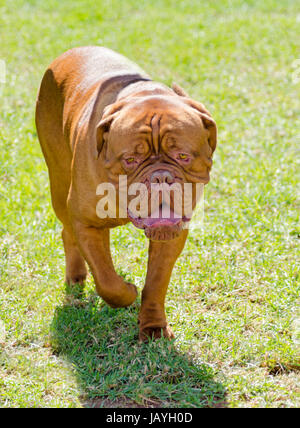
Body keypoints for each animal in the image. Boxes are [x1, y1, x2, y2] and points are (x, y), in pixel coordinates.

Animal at [36, 46, 217, 342]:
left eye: (183, 156)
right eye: (131, 159)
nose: (161, 177)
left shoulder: (172, 234)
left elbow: (156, 281)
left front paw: (153, 327)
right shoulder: (86, 222)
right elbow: (107, 281)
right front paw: (128, 292)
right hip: (59, 180)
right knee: (68, 232)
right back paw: (75, 277)